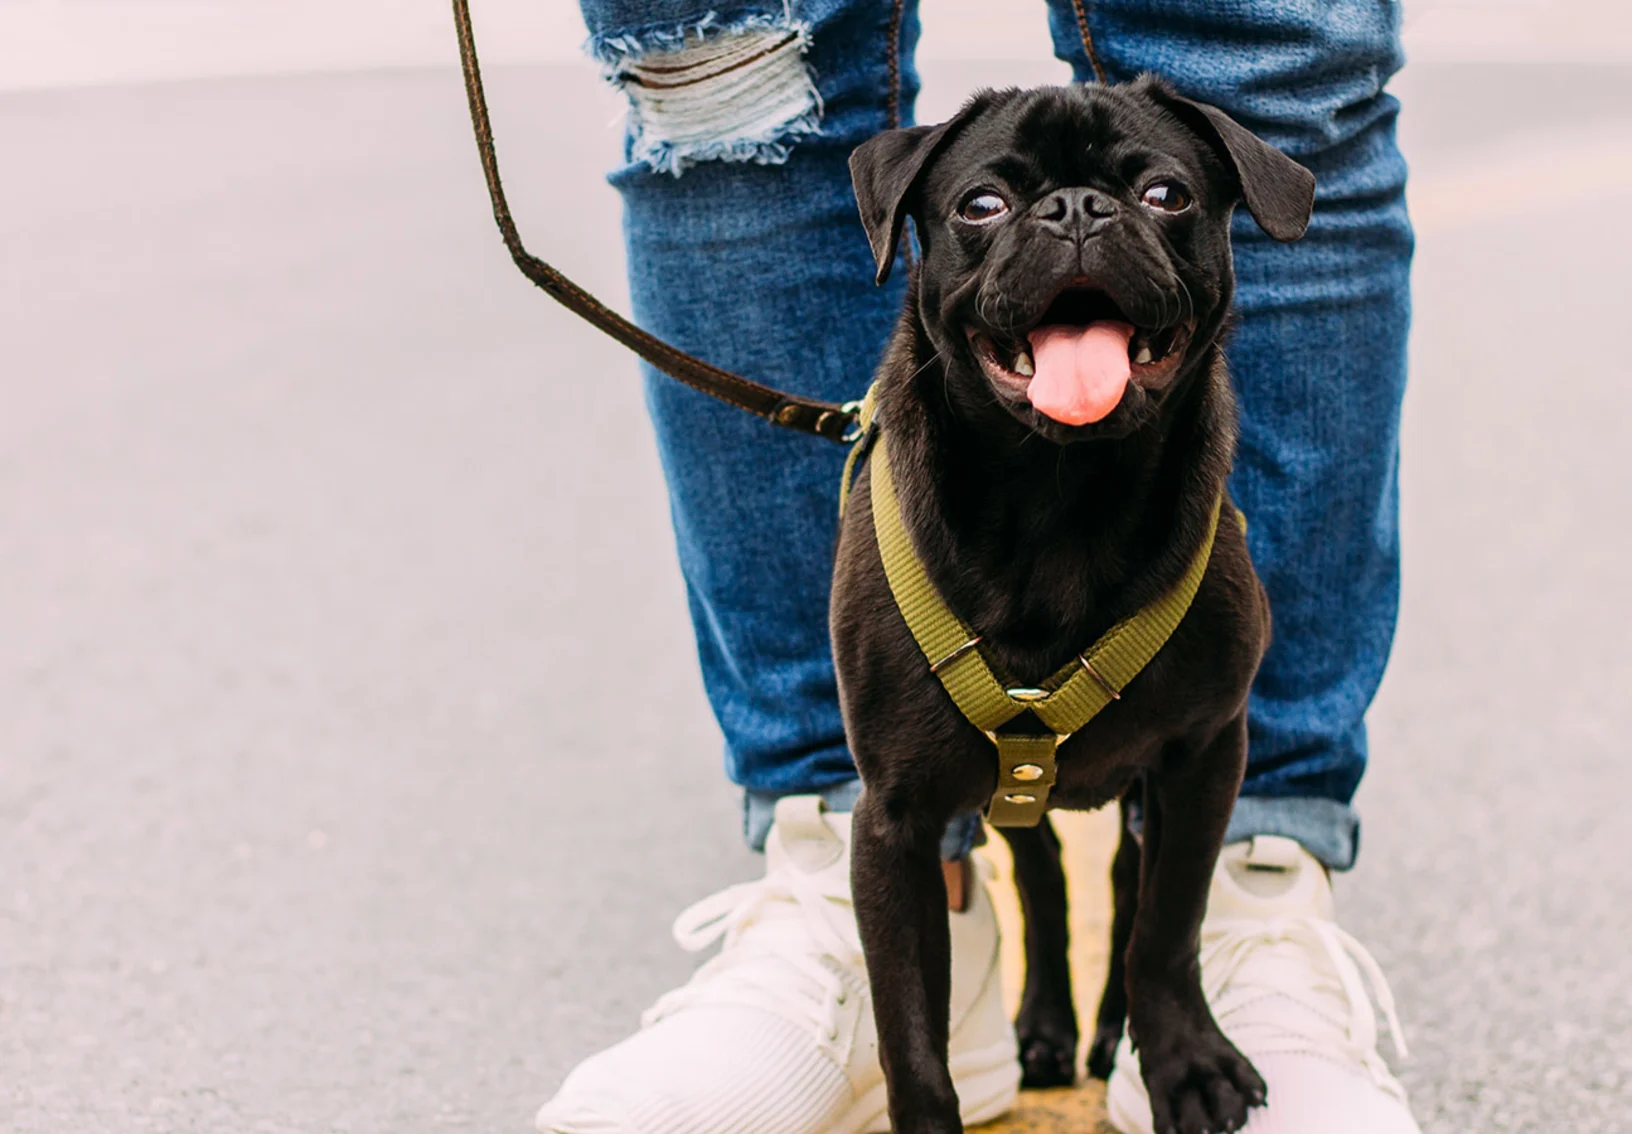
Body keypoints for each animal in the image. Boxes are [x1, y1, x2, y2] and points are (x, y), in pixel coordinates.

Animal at [829, 79, 1312, 1134]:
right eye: (981, 206)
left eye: (1167, 195)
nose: (1078, 209)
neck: (1060, 498)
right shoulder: (893, 823)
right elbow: (909, 1034)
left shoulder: (1206, 754)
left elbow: (1167, 924)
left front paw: (1182, 1065)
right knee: (1045, 878)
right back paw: (1047, 1028)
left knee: (1126, 884)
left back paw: (1105, 1033)